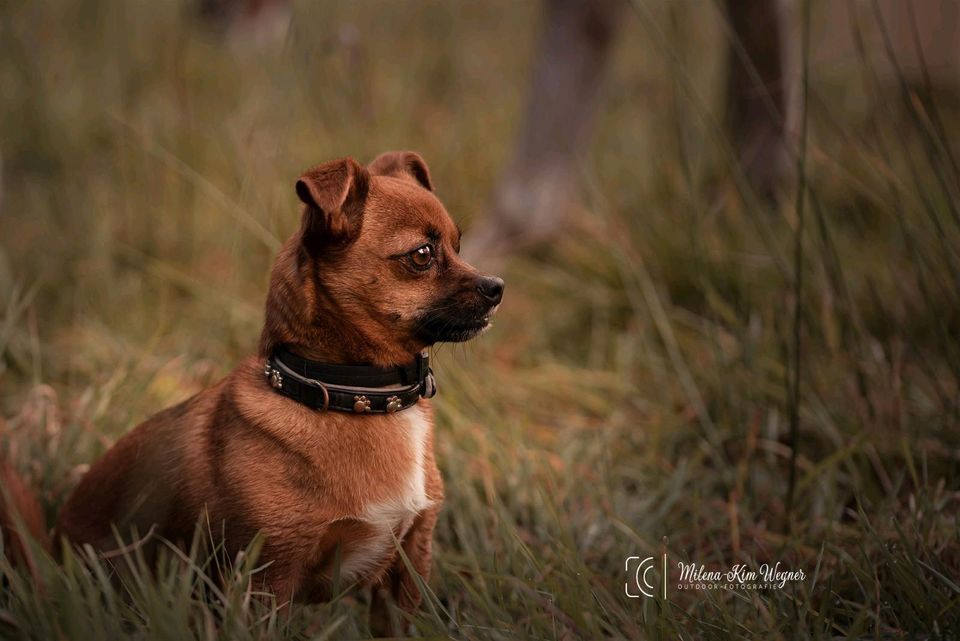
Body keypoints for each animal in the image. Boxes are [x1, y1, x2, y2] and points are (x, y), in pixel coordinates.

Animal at [0, 150, 506, 616]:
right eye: (422, 255)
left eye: (459, 247)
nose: (497, 286)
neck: (359, 395)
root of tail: (49, 565)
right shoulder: (267, 581)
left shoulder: (408, 570)